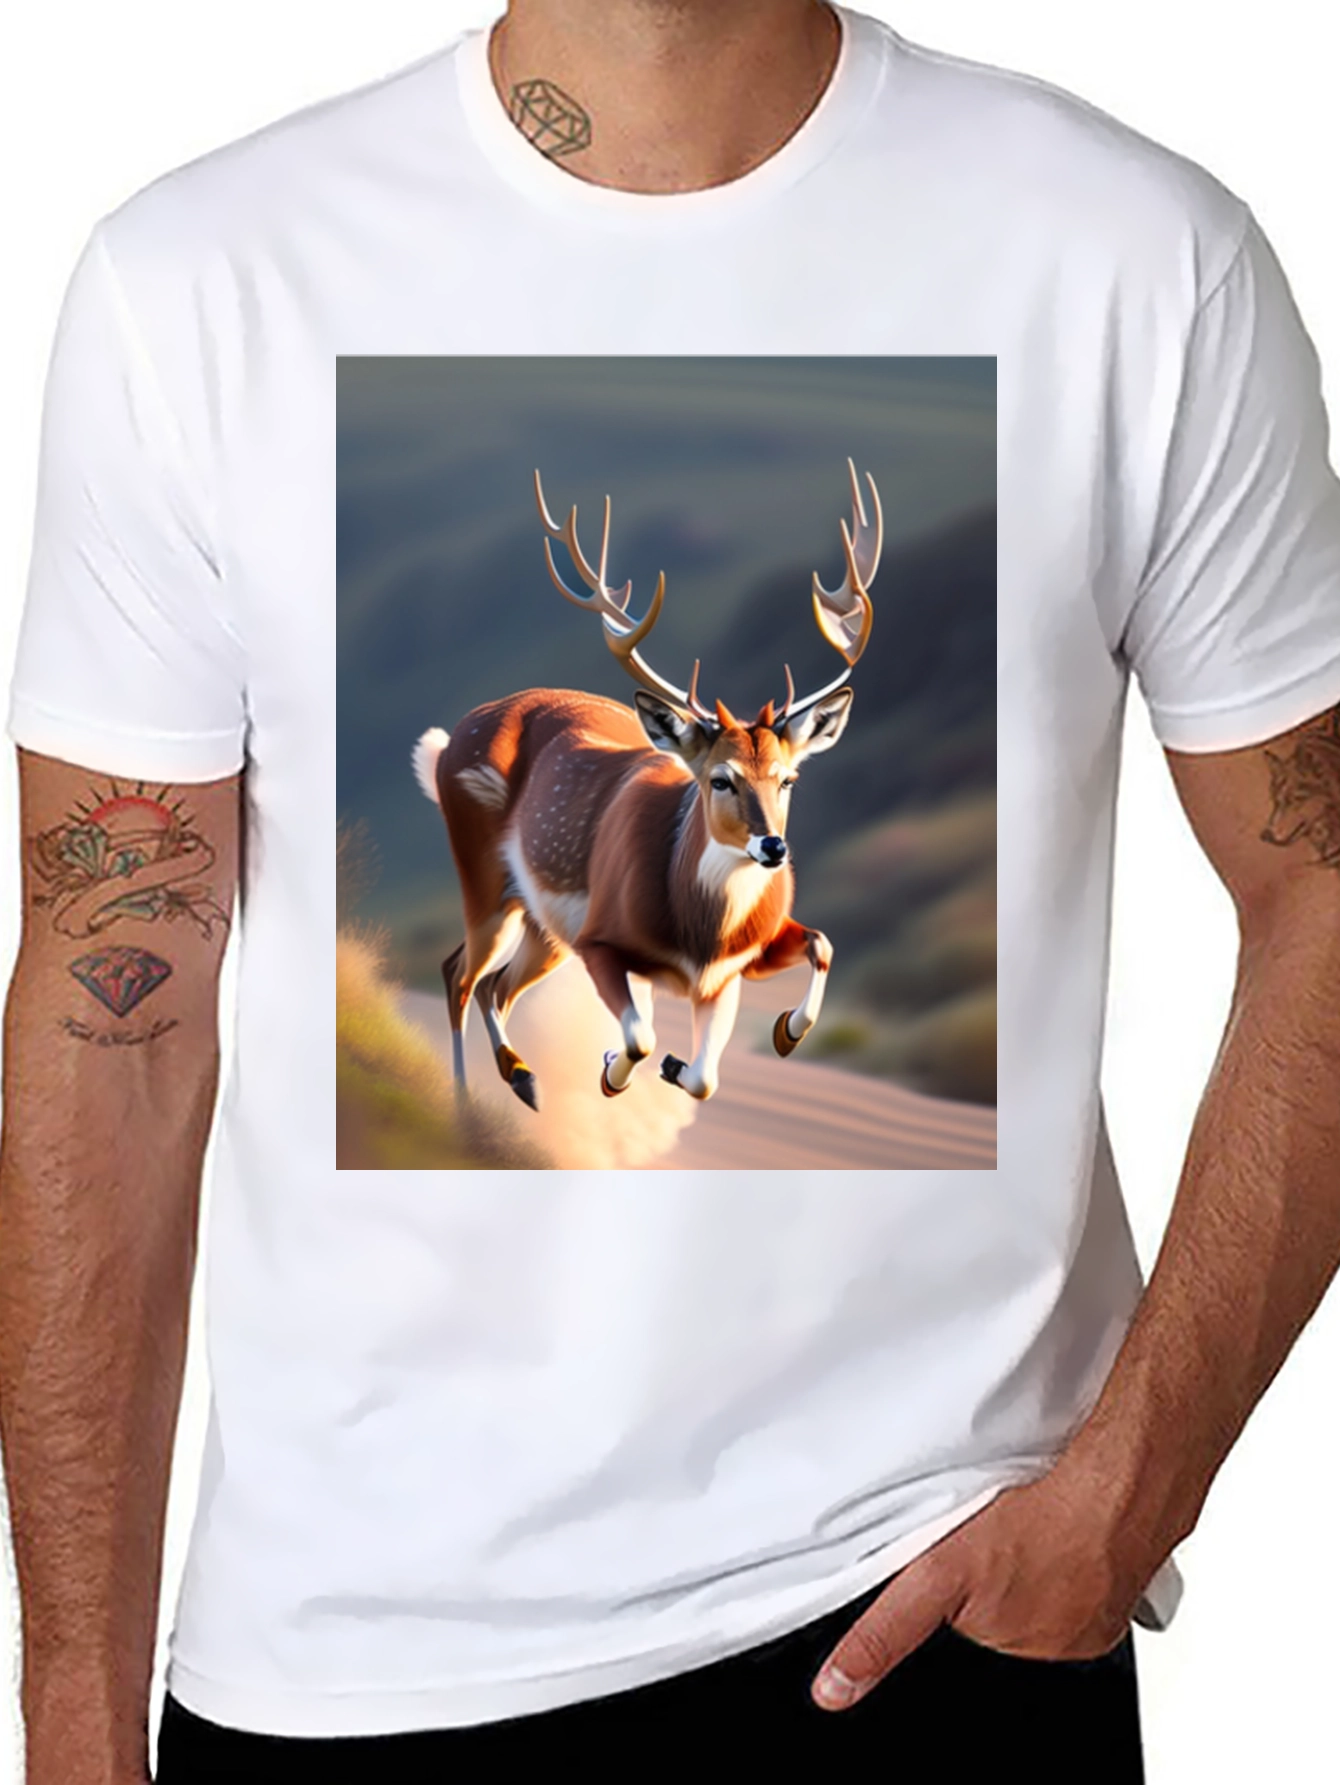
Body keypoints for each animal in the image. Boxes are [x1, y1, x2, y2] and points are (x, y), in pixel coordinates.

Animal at [413, 456, 881, 1111]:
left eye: (788, 778)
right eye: (720, 779)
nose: (773, 847)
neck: (699, 935)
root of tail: (450, 740)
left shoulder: (730, 968)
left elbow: (722, 1059)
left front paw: (777, 1035)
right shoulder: (602, 941)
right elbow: (640, 1035)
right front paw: (614, 1069)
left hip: (543, 924)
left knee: (493, 984)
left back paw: (525, 1078)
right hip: (483, 874)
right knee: (459, 974)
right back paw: (464, 1104)